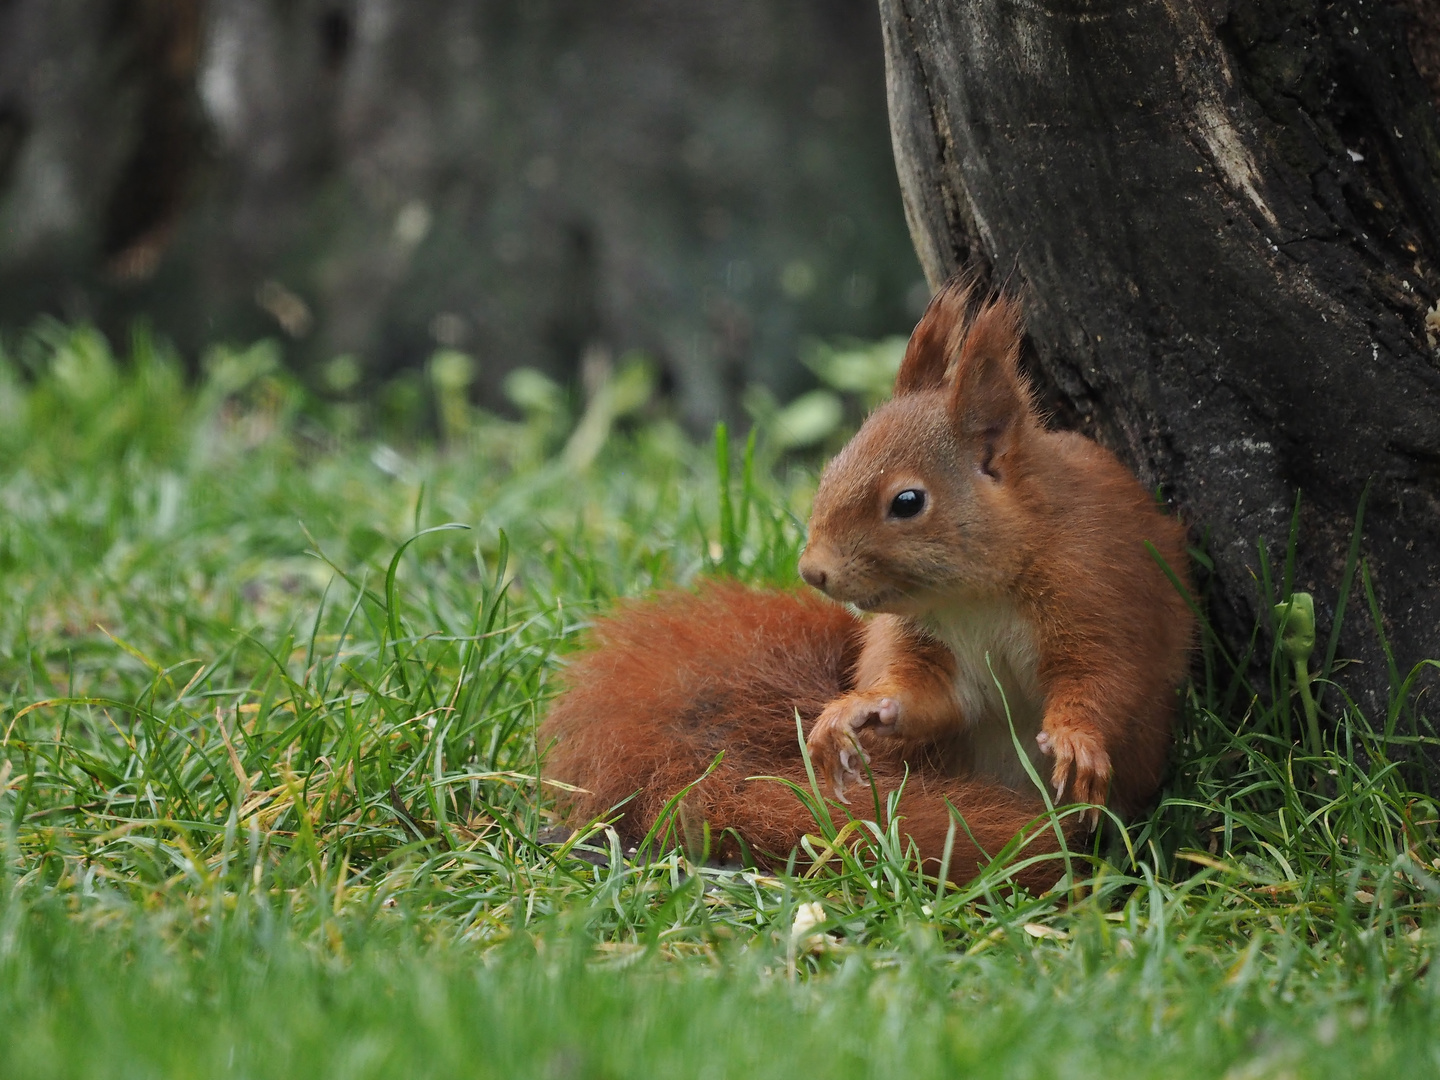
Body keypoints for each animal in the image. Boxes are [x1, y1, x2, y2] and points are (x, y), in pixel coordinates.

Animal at [541, 280, 1192, 898]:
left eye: (907, 502)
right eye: (831, 468)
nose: (813, 571)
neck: (977, 597)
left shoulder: (1097, 591)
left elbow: (1105, 677)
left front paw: (1076, 738)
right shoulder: (927, 644)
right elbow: (933, 696)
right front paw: (861, 708)